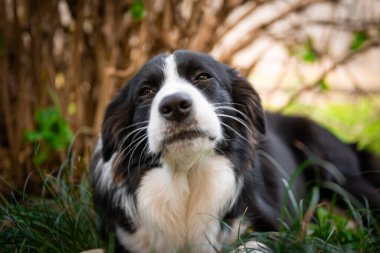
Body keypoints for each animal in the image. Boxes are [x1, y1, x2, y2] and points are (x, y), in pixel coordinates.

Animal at [90, 50, 380, 253]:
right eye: (146, 91)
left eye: (202, 77)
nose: (175, 105)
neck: (187, 177)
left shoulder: (277, 228)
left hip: (338, 175)